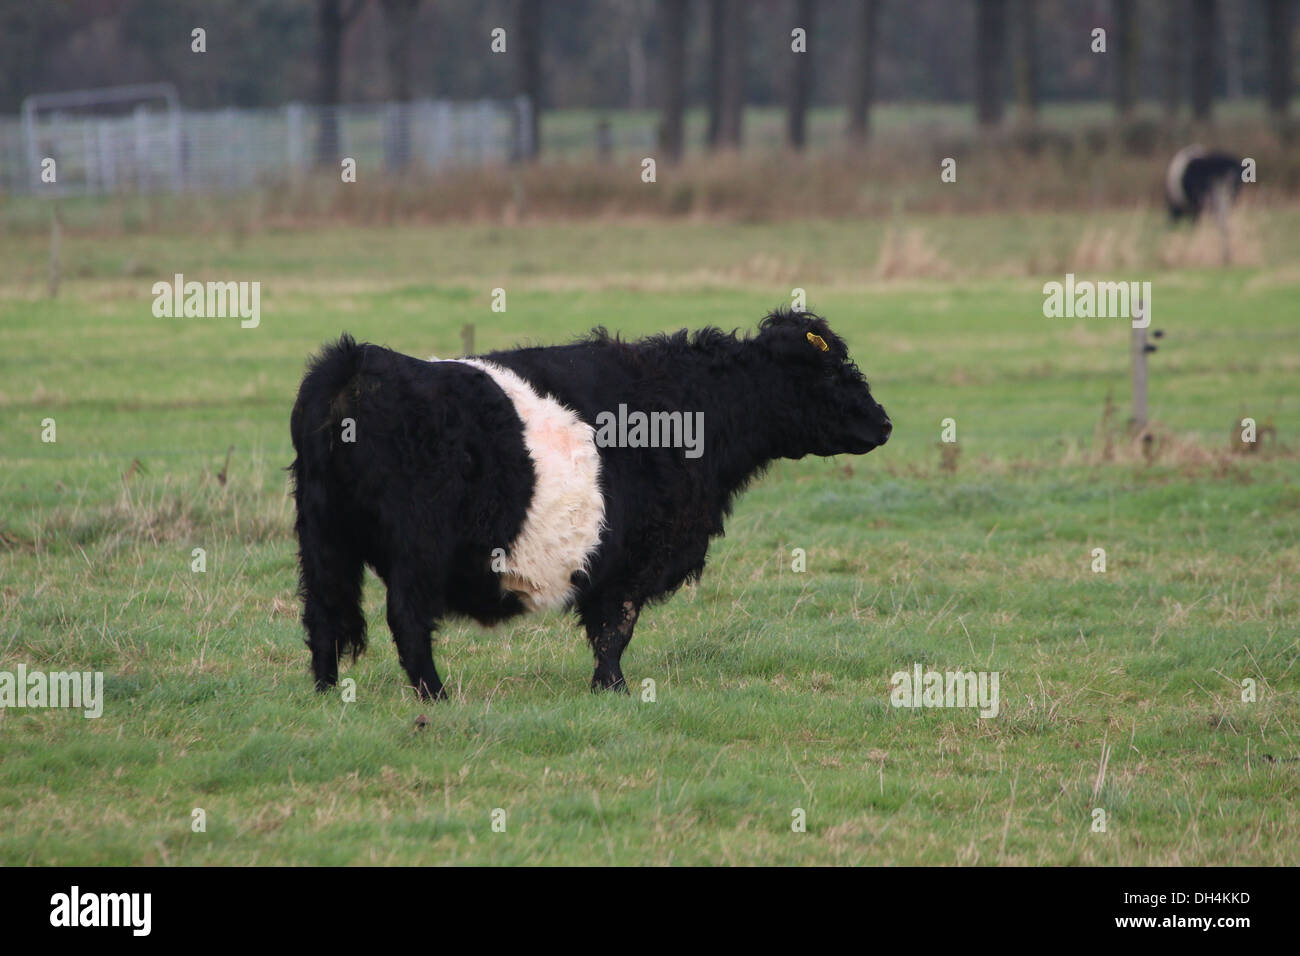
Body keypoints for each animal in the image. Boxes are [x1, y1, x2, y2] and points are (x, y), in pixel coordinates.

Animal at [288, 310, 889, 697]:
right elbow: (614, 630)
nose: (883, 422)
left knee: (323, 612)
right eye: (831, 371)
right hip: (417, 546)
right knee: (406, 618)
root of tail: (355, 366)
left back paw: (326, 693)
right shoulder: (631, 559)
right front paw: (613, 690)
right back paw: (436, 695)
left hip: (321, 538)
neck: (691, 405)